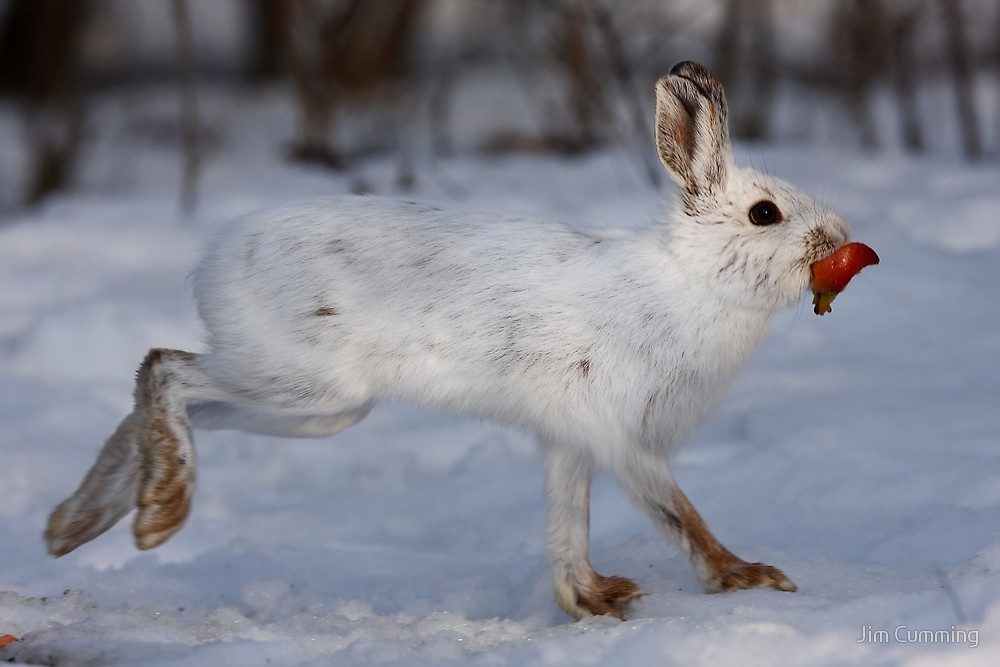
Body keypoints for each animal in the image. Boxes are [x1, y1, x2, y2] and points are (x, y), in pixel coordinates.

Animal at [45, 61, 853, 620]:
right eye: (764, 213)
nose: (840, 241)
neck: (690, 281)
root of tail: (215, 259)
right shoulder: (623, 436)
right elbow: (678, 514)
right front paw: (744, 577)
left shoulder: (570, 440)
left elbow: (568, 524)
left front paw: (591, 599)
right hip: (308, 387)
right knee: (166, 368)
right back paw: (159, 512)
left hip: (308, 406)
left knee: (163, 390)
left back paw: (77, 523)